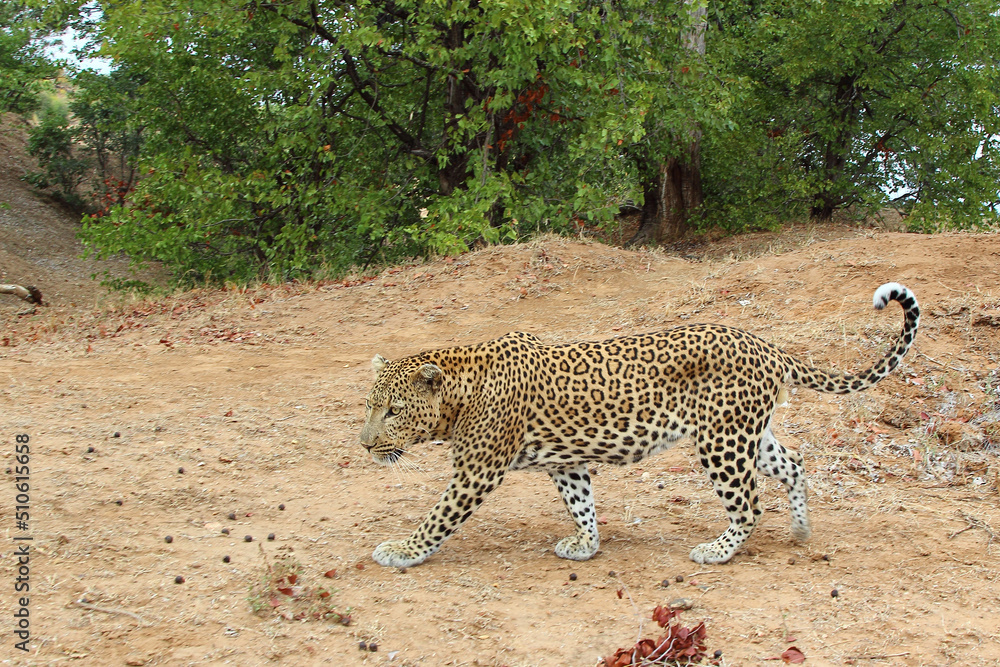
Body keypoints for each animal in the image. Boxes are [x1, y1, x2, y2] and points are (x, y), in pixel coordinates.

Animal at [359, 282, 919, 568]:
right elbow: (582, 504)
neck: (458, 391)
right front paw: (586, 544)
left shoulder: (476, 471)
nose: (364, 445)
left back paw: (716, 551)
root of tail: (768, 345)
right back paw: (802, 530)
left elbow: (437, 518)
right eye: (370, 406)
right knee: (796, 463)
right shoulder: (566, 463)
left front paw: (401, 551)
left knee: (749, 505)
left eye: (392, 411)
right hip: (749, 435)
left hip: (722, 442)